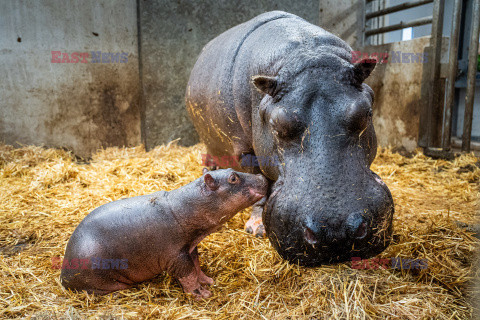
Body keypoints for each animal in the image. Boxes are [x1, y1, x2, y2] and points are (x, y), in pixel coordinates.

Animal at [61, 169, 266, 298]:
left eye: (232, 170)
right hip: (99, 279)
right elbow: (188, 275)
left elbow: (197, 267)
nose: (261, 175)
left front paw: (208, 281)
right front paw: (203, 295)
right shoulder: (176, 256)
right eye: (233, 178)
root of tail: (63, 277)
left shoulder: (190, 247)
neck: (186, 206)